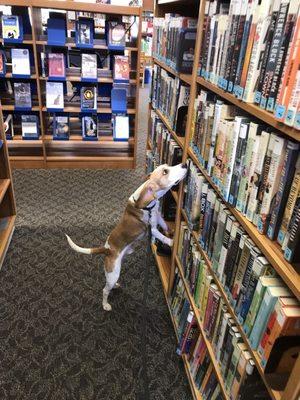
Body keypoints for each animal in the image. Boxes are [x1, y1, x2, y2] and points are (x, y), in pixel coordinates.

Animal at [67, 162, 186, 310]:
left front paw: (171, 231)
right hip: (113, 273)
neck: (148, 205)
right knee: (104, 290)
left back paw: (115, 286)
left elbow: (164, 225)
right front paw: (171, 241)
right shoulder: (151, 228)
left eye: (167, 166)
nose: (184, 164)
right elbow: (160, 235)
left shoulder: (157, 217)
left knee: (109, 284)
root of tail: (107, 249)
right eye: (165, 172)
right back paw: (105, 304)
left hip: (115, 270)